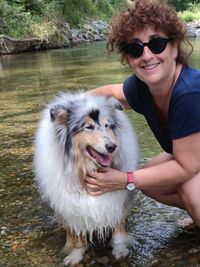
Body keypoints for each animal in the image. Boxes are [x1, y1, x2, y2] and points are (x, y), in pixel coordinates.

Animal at [33, 91, 139, 266]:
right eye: (88, 127)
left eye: (107, 125)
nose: (112, 146)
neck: (86, 168)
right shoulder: (70, 207)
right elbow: (76, 236)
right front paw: (75, 255)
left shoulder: (116, 201)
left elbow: (118, 229)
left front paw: (120, 250)